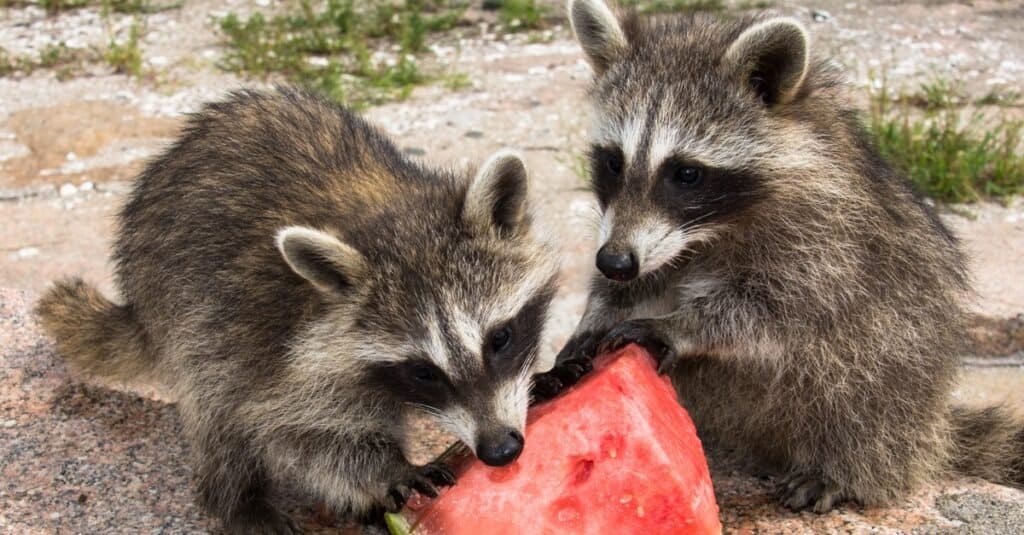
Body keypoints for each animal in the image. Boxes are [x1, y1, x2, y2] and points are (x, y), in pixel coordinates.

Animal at [37, 87, 561, 528]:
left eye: (499, 338)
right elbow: (301, 433)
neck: (392, 213)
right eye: (423, 372)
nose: (500, 451)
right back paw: (237, 501)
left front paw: (545, 375)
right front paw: (386, 471)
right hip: (180, 304)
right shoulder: (282, 346)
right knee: (216, 410)